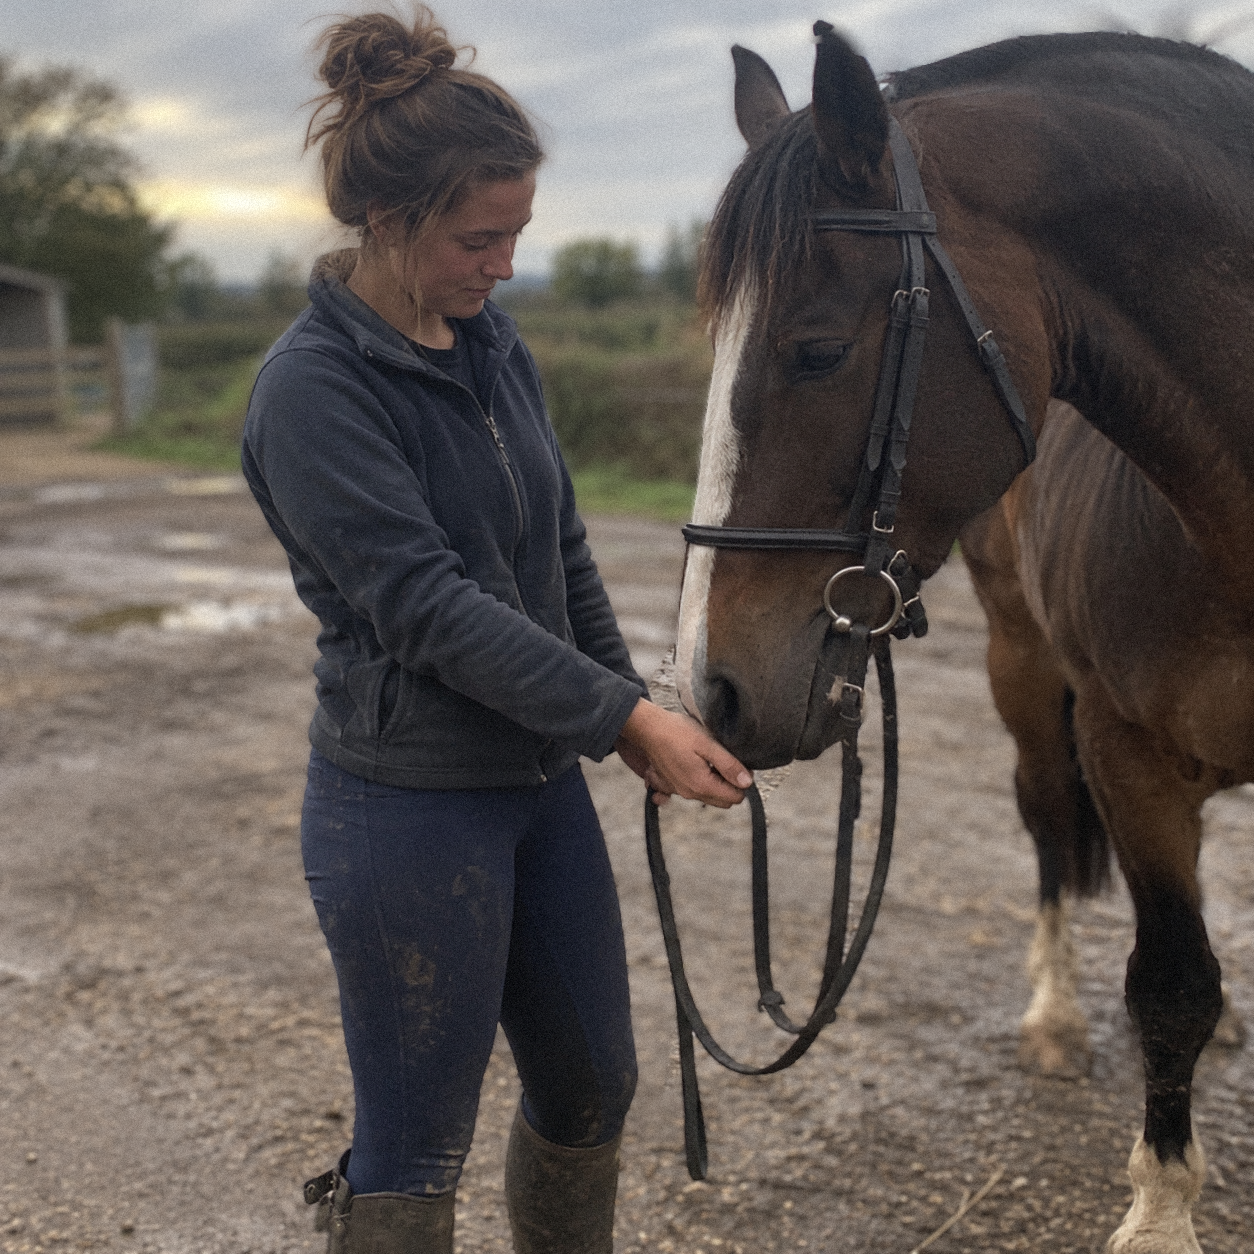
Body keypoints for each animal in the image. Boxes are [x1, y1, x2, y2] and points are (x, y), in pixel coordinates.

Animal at [674, 25, 1254, 1254]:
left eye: (816, 351)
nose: (713, 688)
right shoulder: (1127, 756)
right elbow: (1171, 982)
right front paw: (1162, 1213)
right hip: (1027, 680)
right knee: (1046, 827)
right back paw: (1054, 1015)